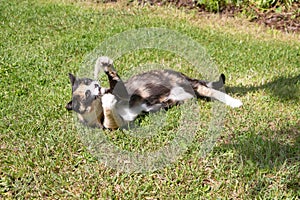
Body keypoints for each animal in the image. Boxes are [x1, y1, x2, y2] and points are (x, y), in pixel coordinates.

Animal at [65, 56, 241, 129]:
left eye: (88, 81)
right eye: (86, 95)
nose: (96, 85)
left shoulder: (122, 93)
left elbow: (114, 84)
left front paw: (105, 65)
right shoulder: (118, 124)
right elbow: (110, 114)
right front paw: (108, 100)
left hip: (183, 83)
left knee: (210, 89)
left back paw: (235, 102)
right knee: (208, 91)